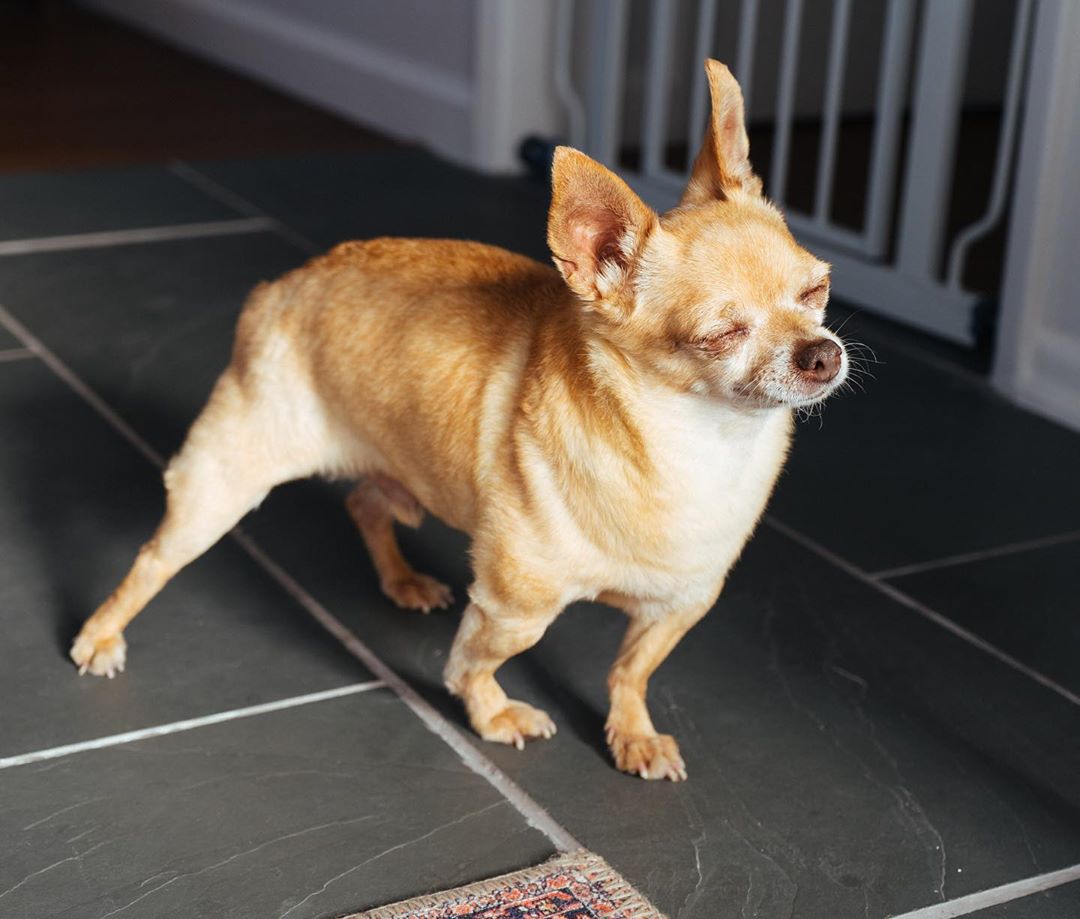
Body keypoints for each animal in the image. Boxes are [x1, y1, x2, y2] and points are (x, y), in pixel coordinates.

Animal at [69, 61, 842, 781]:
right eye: (722, 334)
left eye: (817, 291)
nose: (824, 354)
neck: (695, 445)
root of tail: (282, 285)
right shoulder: (512, 608)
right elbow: (472, 664)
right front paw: (493, 715)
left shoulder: (679, 603)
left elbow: (631, 670)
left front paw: (632, 732)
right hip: (222, 484)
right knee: (152, 559)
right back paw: (101, 634)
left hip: (396, 466)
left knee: (364, 500)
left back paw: (402, 580)